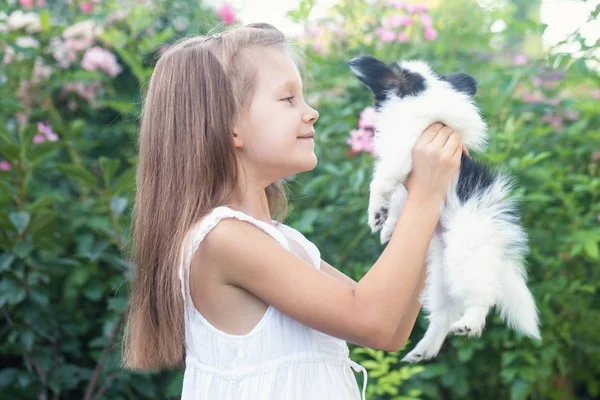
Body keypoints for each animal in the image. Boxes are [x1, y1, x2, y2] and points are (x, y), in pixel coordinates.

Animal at [350, 55, 540, 362]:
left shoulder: (402, 155)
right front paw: (388, 227)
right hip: (440, 278)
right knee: (442, 316)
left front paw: (376, 213)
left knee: (482, 297)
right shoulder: (407, 184)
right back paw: (423, 351)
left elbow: (380, 183)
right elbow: (399, 202)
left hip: (467, 257)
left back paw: (469, 323)